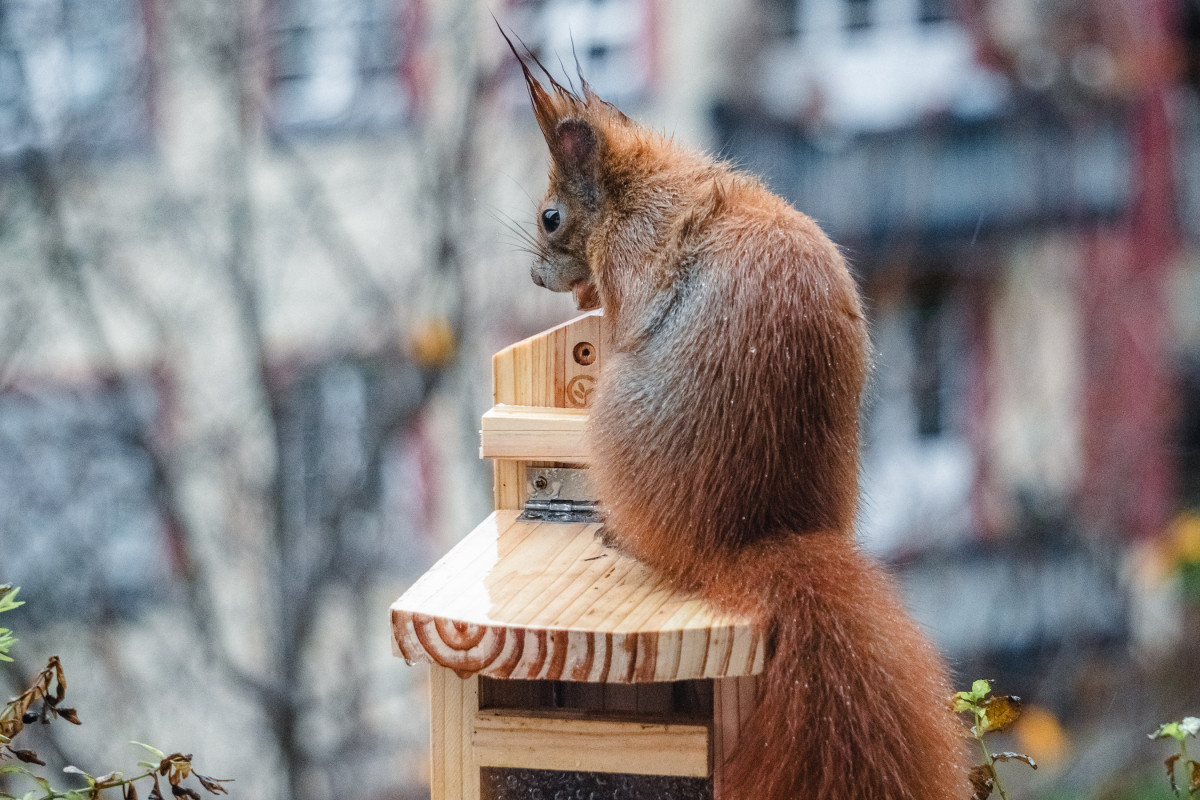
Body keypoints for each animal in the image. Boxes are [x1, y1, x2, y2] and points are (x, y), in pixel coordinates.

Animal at [504, 34, 964, 796]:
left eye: (550, 217)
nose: (535, 276)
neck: (639, 192)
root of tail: (750, 539)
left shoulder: (633, 259)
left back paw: (624, 538)